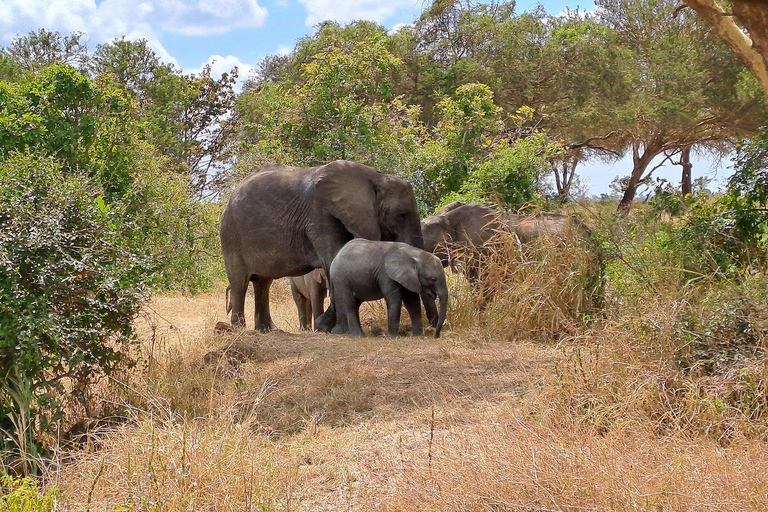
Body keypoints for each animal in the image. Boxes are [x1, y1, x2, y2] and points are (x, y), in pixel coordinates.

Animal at [222, 158, 424, 330]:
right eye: (402, 215)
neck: (375, 178)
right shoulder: (319, 214)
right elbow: (333, 259)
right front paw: (337, 328)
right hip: (231, 236)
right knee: (240, 282)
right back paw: (240, 329)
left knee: (263, 283)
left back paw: (269, 330)